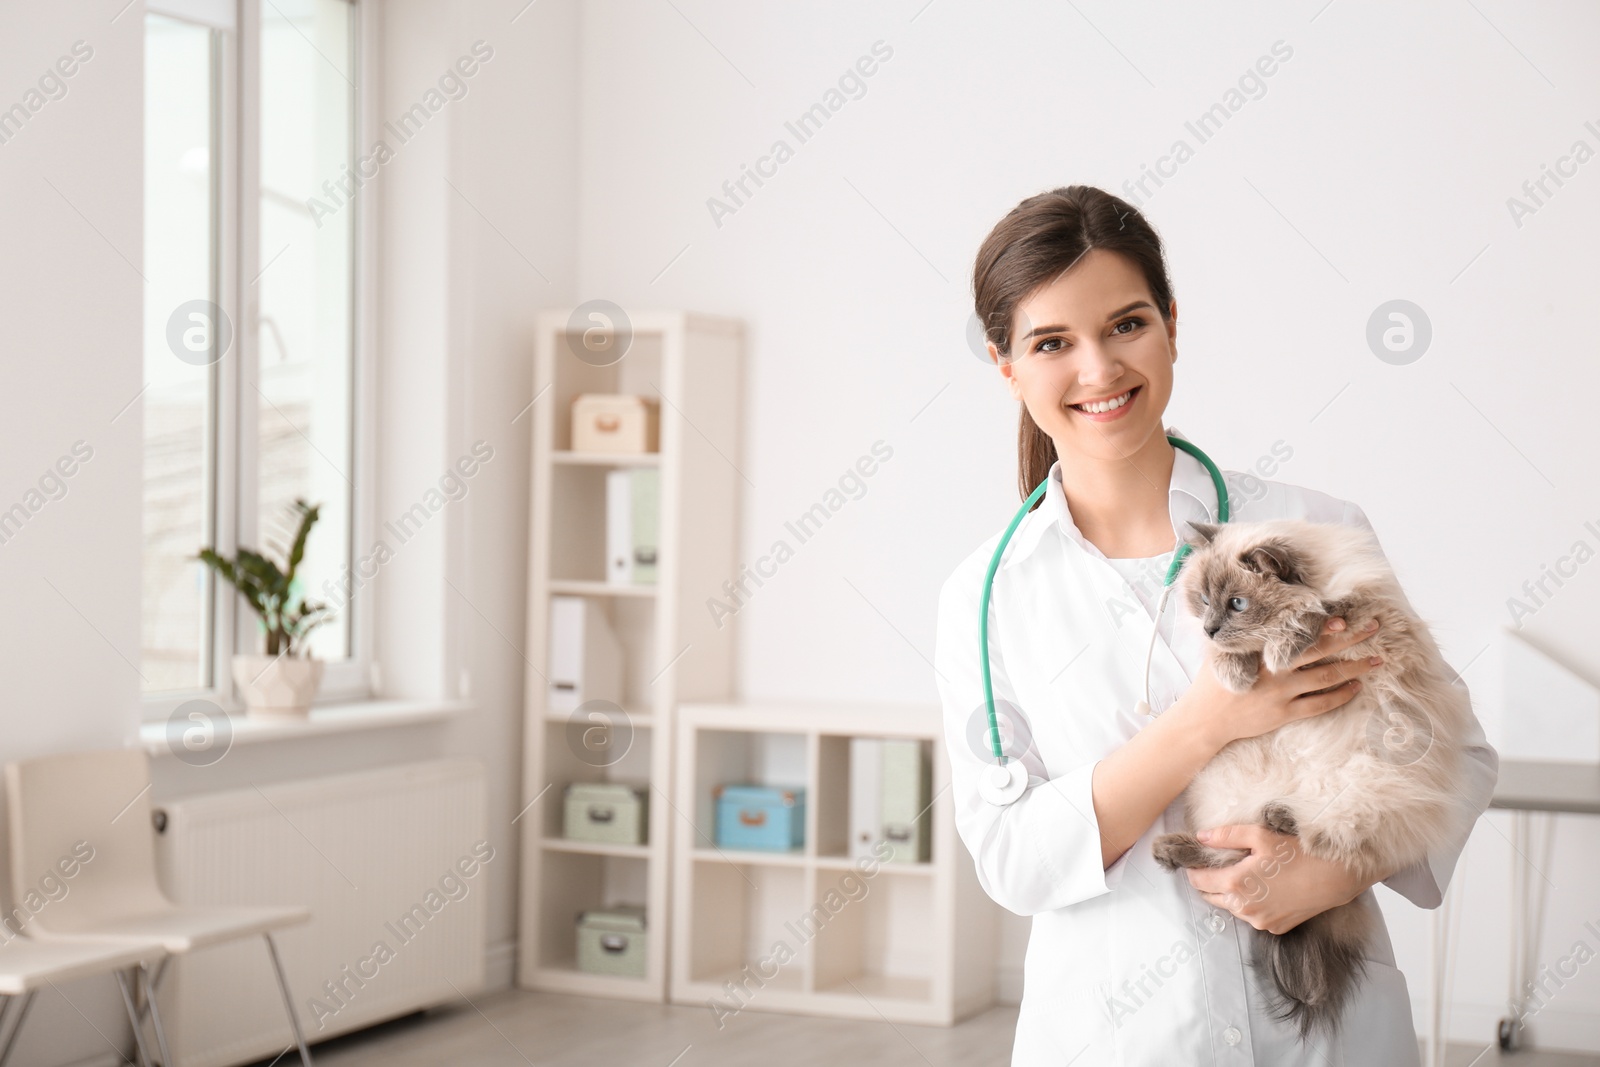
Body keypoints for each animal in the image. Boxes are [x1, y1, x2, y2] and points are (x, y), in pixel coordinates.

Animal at [1152, 521, 1472, 1036]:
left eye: (1237, 603)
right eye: (1203, 600)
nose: (1210, 627)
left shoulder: (1365, 611)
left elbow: (1312, 614)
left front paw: (1282, 650)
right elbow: (1228, 657)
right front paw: (1237, 673)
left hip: (1369, 782)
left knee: (1326, 835)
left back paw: (1282, 817)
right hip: (1225, 784)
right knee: (1228, 851)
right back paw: (1174, 849)